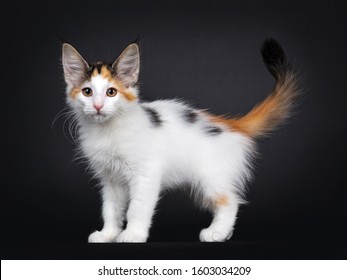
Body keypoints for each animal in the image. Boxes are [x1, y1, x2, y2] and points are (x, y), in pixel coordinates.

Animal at [61, 38, 300, 242]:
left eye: (111, 92)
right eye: (87, 92)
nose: (98, 106)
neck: (107, 131)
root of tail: (231, 125)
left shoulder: (146, 174)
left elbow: (137, 207)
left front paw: (133, 235)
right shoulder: (110, 179)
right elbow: (110, 208)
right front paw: (108, 234)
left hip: (210, 178)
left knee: (230, 201)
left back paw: (217, 232)